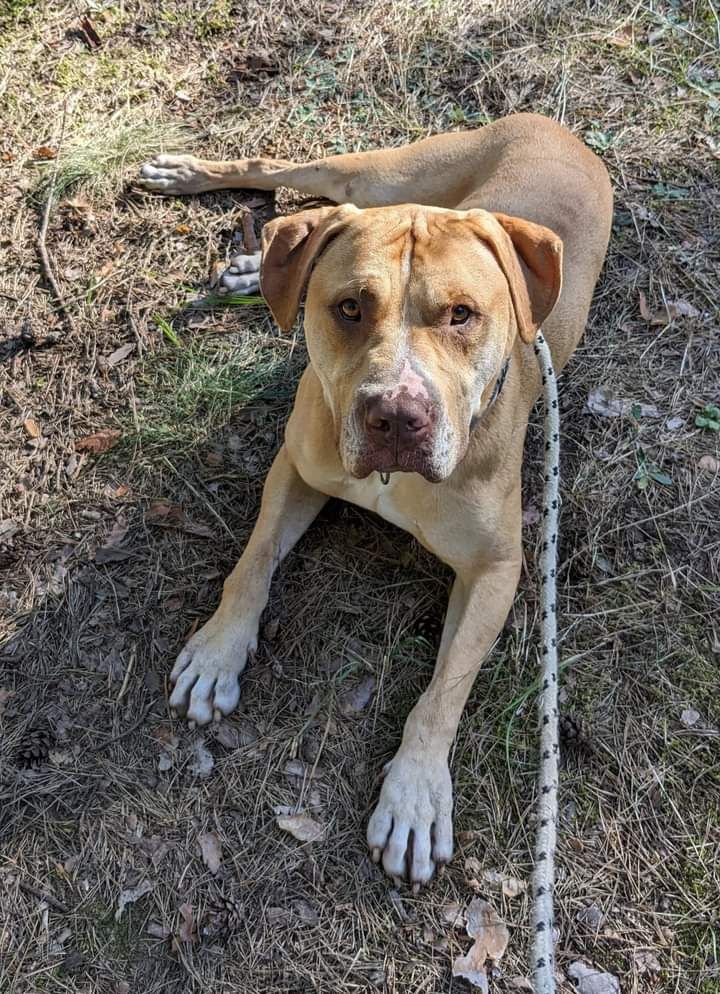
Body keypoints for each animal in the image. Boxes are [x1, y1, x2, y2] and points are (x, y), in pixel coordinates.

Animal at [138, 114, 612, 884]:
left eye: (462, 315)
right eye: (349, 308)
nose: (396, 416)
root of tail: (552, 124)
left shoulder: (497, 571)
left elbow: (444, 691)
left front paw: (415, 793)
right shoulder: (297, 468)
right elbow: (253, 562)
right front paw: (218, 652)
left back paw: (254, 267)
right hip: (376, 177)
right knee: (289, 187)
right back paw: (200, 190)